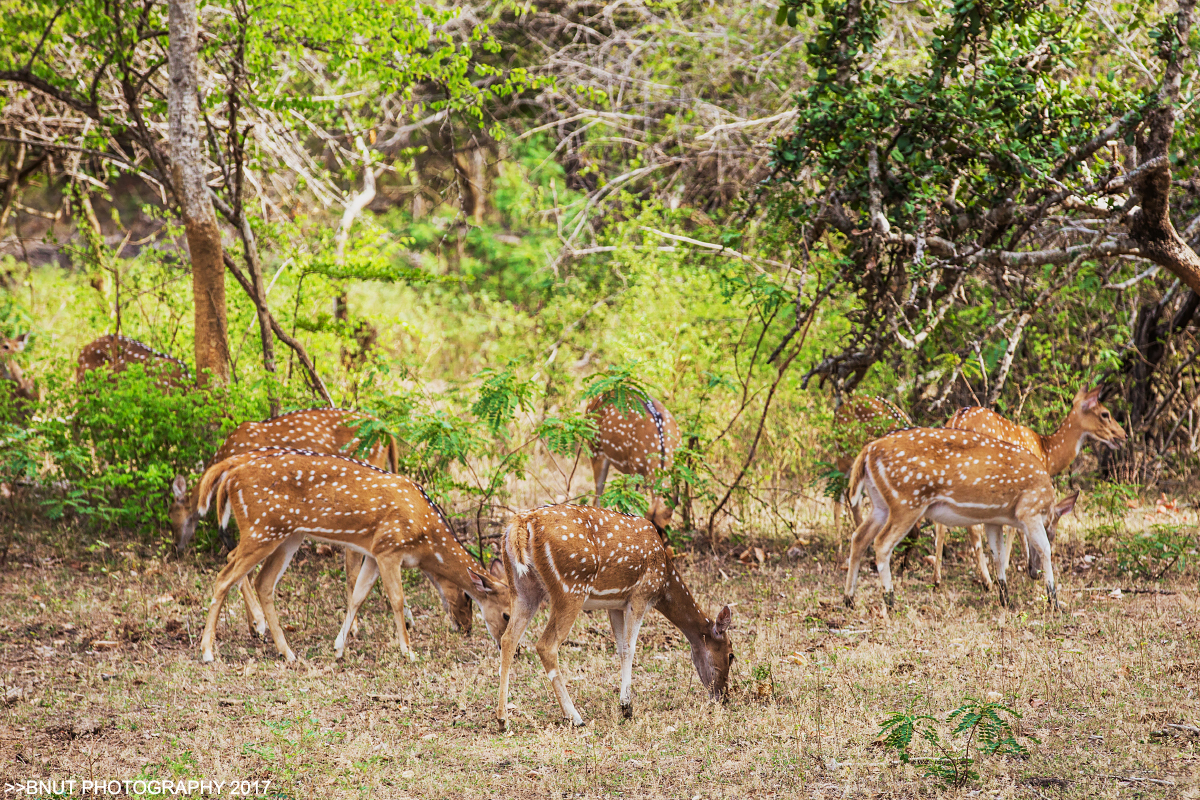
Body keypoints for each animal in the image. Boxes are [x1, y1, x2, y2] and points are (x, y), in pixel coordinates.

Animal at [193, 450, 511, 662]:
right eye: (506, 613)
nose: (466, 628)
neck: (425, 535)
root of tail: (232, 471)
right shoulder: (389, 547)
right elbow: (397, 599)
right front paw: (408, 651)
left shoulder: (374, 552)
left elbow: (358, 596)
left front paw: (338, 648)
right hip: (262, 528)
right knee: (224, 577)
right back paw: (208, 652)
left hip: (287, 535)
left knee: (262, 581)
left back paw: (288, 652)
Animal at [494, 510, 729, 729]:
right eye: (730, 654)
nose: (723, 696)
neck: (664, 583)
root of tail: (520, 523)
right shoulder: (640, 594)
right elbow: (629, 647)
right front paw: (627, 706)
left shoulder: (614, 604)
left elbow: (620, 648)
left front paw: (624, 704)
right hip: (570, 588)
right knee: (546, 645)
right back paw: (575, 717)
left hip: (523, 589)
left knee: (508, 639)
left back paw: (503, 719)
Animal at [844, 429, 1080, 609]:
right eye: (1052, 531)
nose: (1034, 572)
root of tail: (868, 451)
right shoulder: (1029, 510)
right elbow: (1045, 549)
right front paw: (1055, 603)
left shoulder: (993, 519)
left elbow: (998, 555)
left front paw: (1006, 600)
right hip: (907, 501)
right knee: (881, 543)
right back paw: (891, 602)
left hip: (881, 504)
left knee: (858, 537)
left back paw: (849, 599)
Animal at [936, 386, 1123, 587]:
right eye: (1105, 413)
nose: (1123, 435)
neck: (1047, 454)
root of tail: (956, 420)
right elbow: (1015, 528)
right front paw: (1017, 565)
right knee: (973, 528)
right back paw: (987, 581)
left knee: (940, 524)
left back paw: (937, 578)